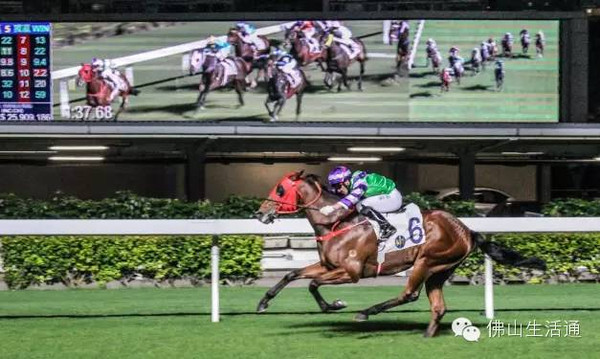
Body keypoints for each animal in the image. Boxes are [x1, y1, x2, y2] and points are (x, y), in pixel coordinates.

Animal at [253, 173, 544, 338]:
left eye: (280, 189)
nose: (260, 213)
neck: (338, 221)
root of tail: (468, 230)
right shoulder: (327, 265)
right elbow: (294, 275)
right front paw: (263, 303)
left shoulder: (351, 272)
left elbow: (313, 283)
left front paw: (335, 305)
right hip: (440, 270)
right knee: (438, 306)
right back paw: (427, 335)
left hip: (427, 260)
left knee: (409, 294)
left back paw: (366, 312)